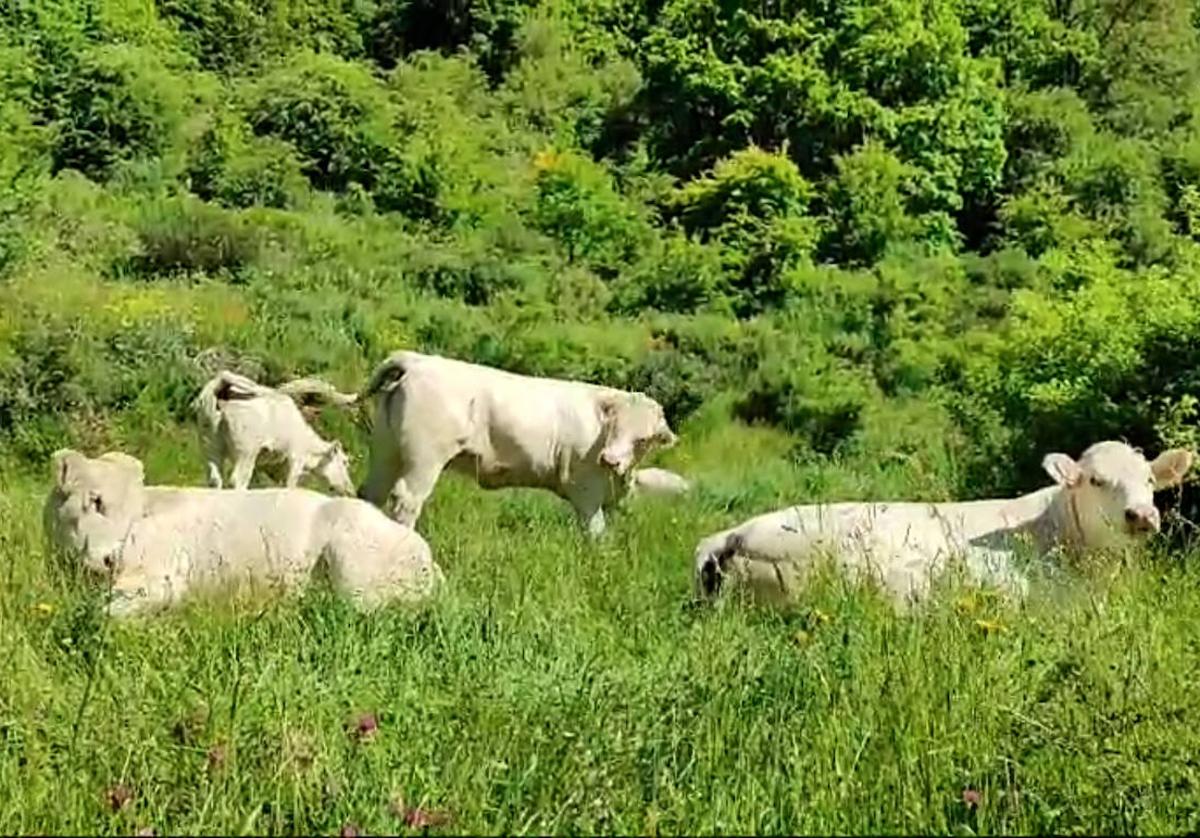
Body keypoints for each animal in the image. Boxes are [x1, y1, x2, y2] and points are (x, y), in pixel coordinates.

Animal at [45, 446, 446, 614]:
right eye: (95, 500)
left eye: (133, 508)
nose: (110, 559)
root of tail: (427, 558)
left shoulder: (160, 580)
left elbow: (103, 613)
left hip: (353, 575)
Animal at [193, 369, 355, 492]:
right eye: (344, 461)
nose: (350, 489)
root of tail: (221, 386)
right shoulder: (295, 460)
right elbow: (289, 486)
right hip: (246, 450)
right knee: (237, 480)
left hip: (209, 443)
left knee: (215, 479)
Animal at [355, 348, 681, 533]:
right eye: (613, 426)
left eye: (643, 439)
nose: (609, 459)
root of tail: (416, 360)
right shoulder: (585, 489)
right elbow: (595, 531)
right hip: (424, 458)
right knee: (406, 500)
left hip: (386, 450)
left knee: (370, 493)